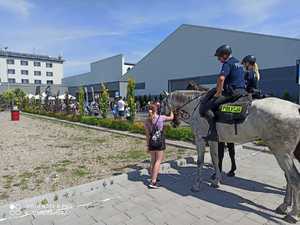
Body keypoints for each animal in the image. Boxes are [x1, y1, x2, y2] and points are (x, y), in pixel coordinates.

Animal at [165, 90, 300, 223]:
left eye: (163, 103)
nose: (174, 123)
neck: (196, 105)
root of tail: (296, 108)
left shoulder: (200, 139)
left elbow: (200, 161)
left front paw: (196, 185)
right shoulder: (213, 140)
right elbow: (215, 159)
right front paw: (216, 180)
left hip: (281, 153)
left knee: (294, 178)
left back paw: (293, 214)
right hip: (286, 154)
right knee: (288, 178)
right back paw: (284, 206)